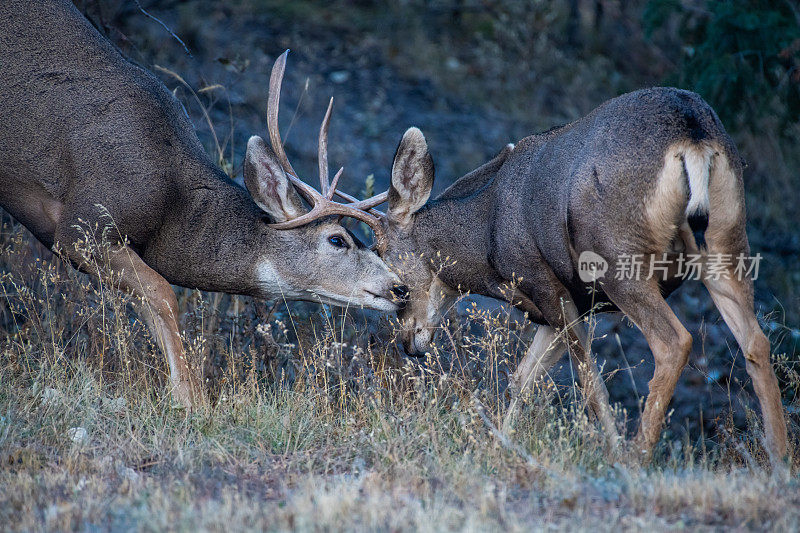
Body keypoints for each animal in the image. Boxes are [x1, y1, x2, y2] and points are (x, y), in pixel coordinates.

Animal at [0, 0, 406, 408]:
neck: (172, 209)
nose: (399, 288)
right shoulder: (81, 225)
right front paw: (191, 399)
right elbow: (164, 295)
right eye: (338, 239)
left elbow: (152, 308)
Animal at [368, 88, 788, 466]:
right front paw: (499, 444)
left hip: (619, 260)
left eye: (383, 257)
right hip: (727, 239)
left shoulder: (546, 286)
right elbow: (522, 379)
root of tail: (693, 136)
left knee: (674, 342)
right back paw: (779, 459)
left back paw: (636, 458)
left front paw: (611, 450)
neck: (487, 240)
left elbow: (589, 381)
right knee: (756, 341)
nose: (408, 342)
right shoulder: (566, 307)